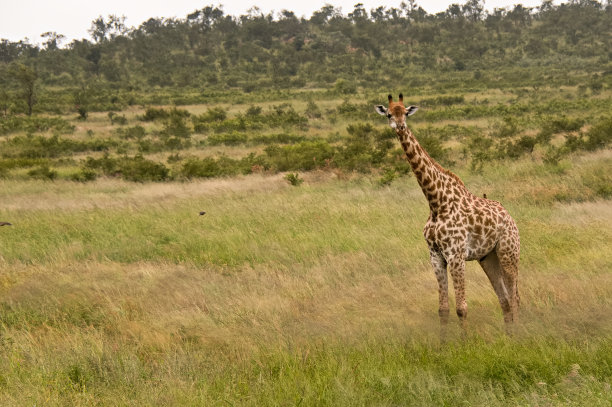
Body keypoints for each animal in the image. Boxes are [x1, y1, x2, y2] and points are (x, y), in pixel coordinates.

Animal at [376, 94, 520, 330]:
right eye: (389, 114)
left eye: (405, 112)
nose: (400, 126)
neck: (436, 203)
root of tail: (509, 215)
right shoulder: (436, 256)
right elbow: (443, 309)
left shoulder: (456, 255)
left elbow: (461, 308)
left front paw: (465, 341)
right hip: (488, 257)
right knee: (505, 299)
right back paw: (509, 335)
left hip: (509, 252)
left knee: (515, 297)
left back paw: (518, 335)